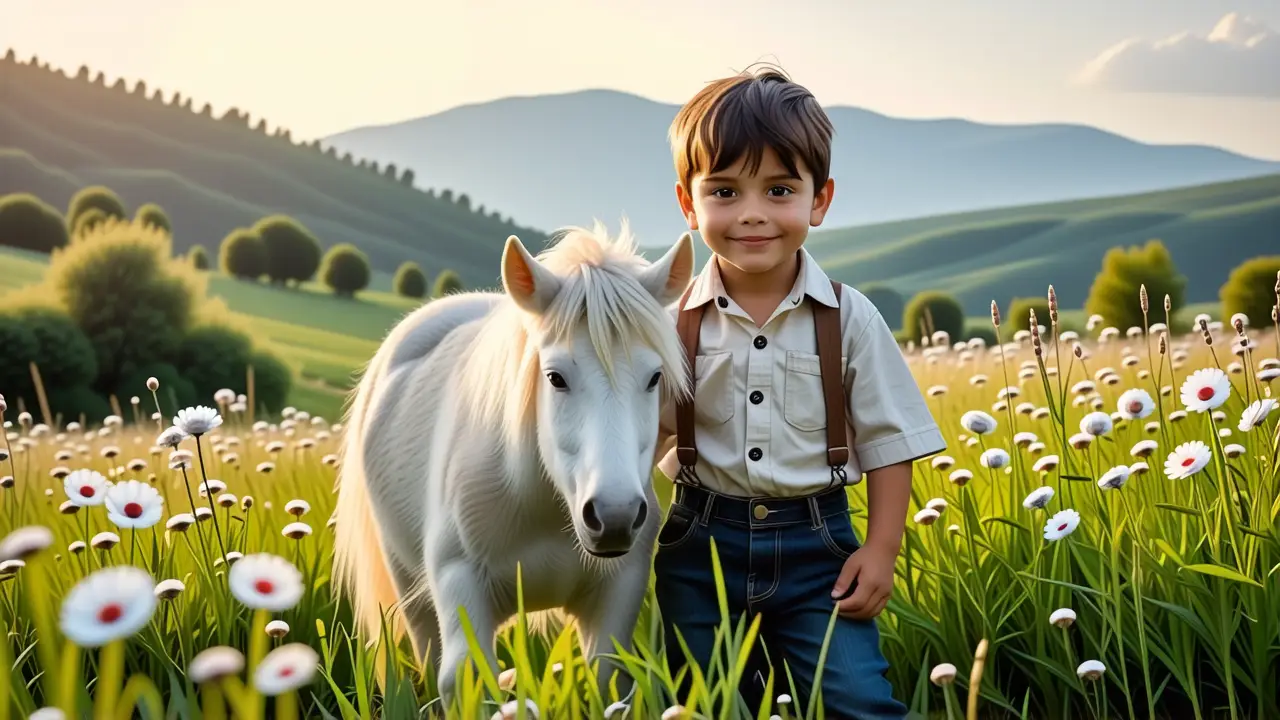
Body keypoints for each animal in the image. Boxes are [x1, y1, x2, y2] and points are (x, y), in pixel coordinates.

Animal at [332, 222, 695, 706]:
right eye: (555, 377)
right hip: (410, 590)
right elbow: (464, 678)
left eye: (654, 377)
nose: (615, 516)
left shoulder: (620, 589)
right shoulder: (459, 583)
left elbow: (606, 676)